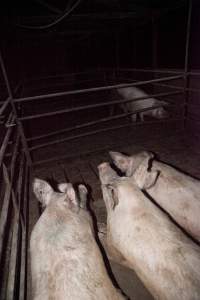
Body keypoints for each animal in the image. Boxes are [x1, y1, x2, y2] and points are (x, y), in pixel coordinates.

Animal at [97, 162, 200, 300]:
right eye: (121, 176)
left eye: (108, 185)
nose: (103, 164)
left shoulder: (115, 244)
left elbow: (111, 252)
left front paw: (98, 233)